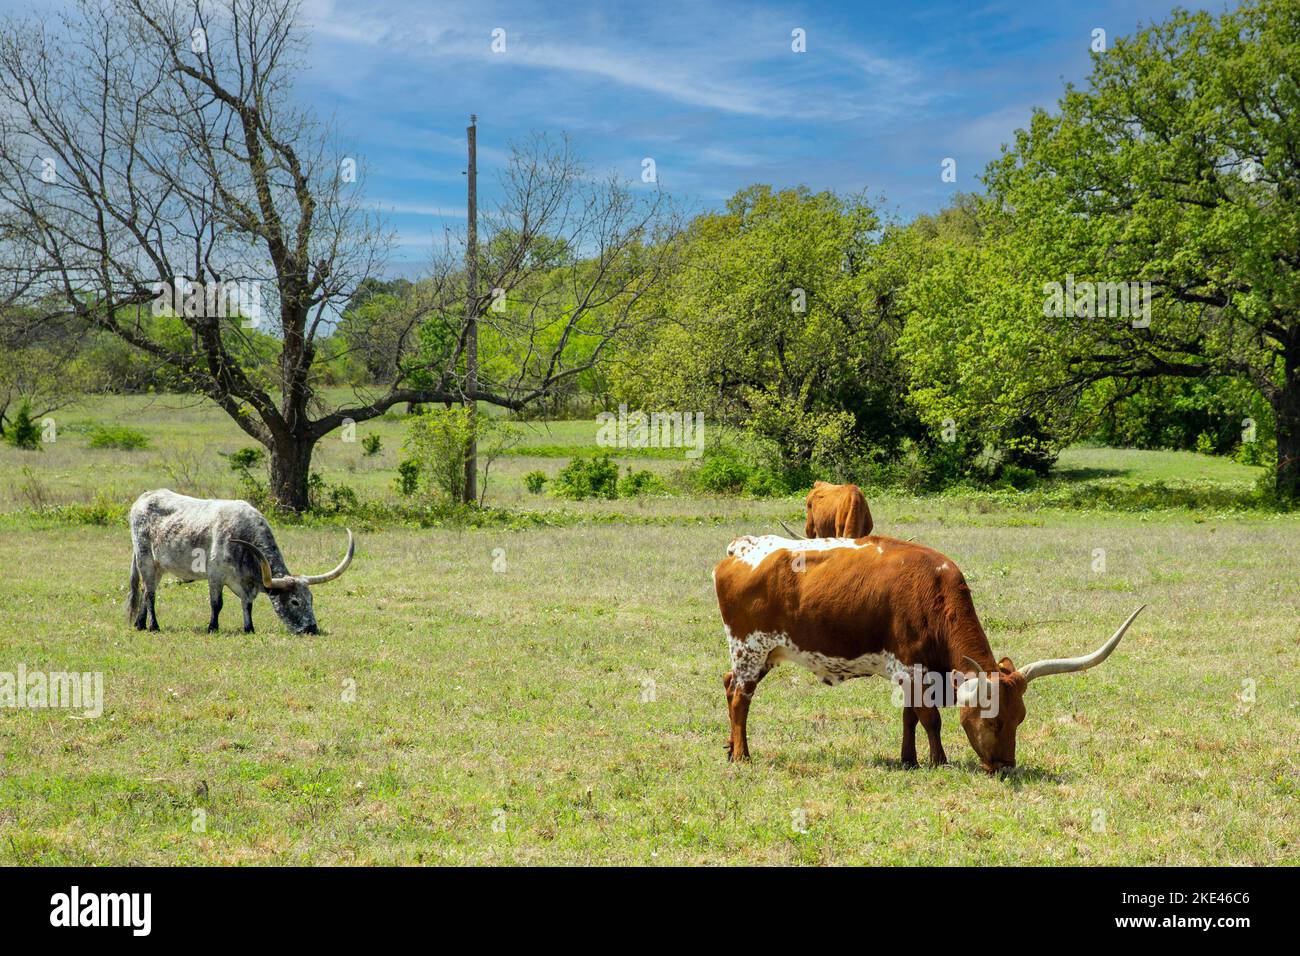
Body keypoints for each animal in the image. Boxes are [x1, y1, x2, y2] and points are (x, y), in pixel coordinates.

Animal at [127, 489, 354, 635]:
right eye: (294, 601)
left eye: (311, 599)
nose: (312, 629)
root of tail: (143, 498)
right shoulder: (215, 576)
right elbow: (217, 603)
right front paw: (213, 627)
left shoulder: (245, 583)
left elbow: (247, 605)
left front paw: (249, 628)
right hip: (145, 560)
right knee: (150, 594)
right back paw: (154, 626)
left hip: (157, 566)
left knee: (146, 591)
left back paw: (140, 624)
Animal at [714, 534, 1143, 772]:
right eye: (993, 722)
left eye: (1019, 718)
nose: (1006, 766)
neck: (933, 594)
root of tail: (740, 548)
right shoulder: (913, 667)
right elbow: (930, 718)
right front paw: (939, 761)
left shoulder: (912, 674)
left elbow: (909, 717)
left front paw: (909, 759)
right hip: (751, 648)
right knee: (739, 697)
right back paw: (743, 755)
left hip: (761, 653)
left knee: (728, 684)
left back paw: (731, 748)